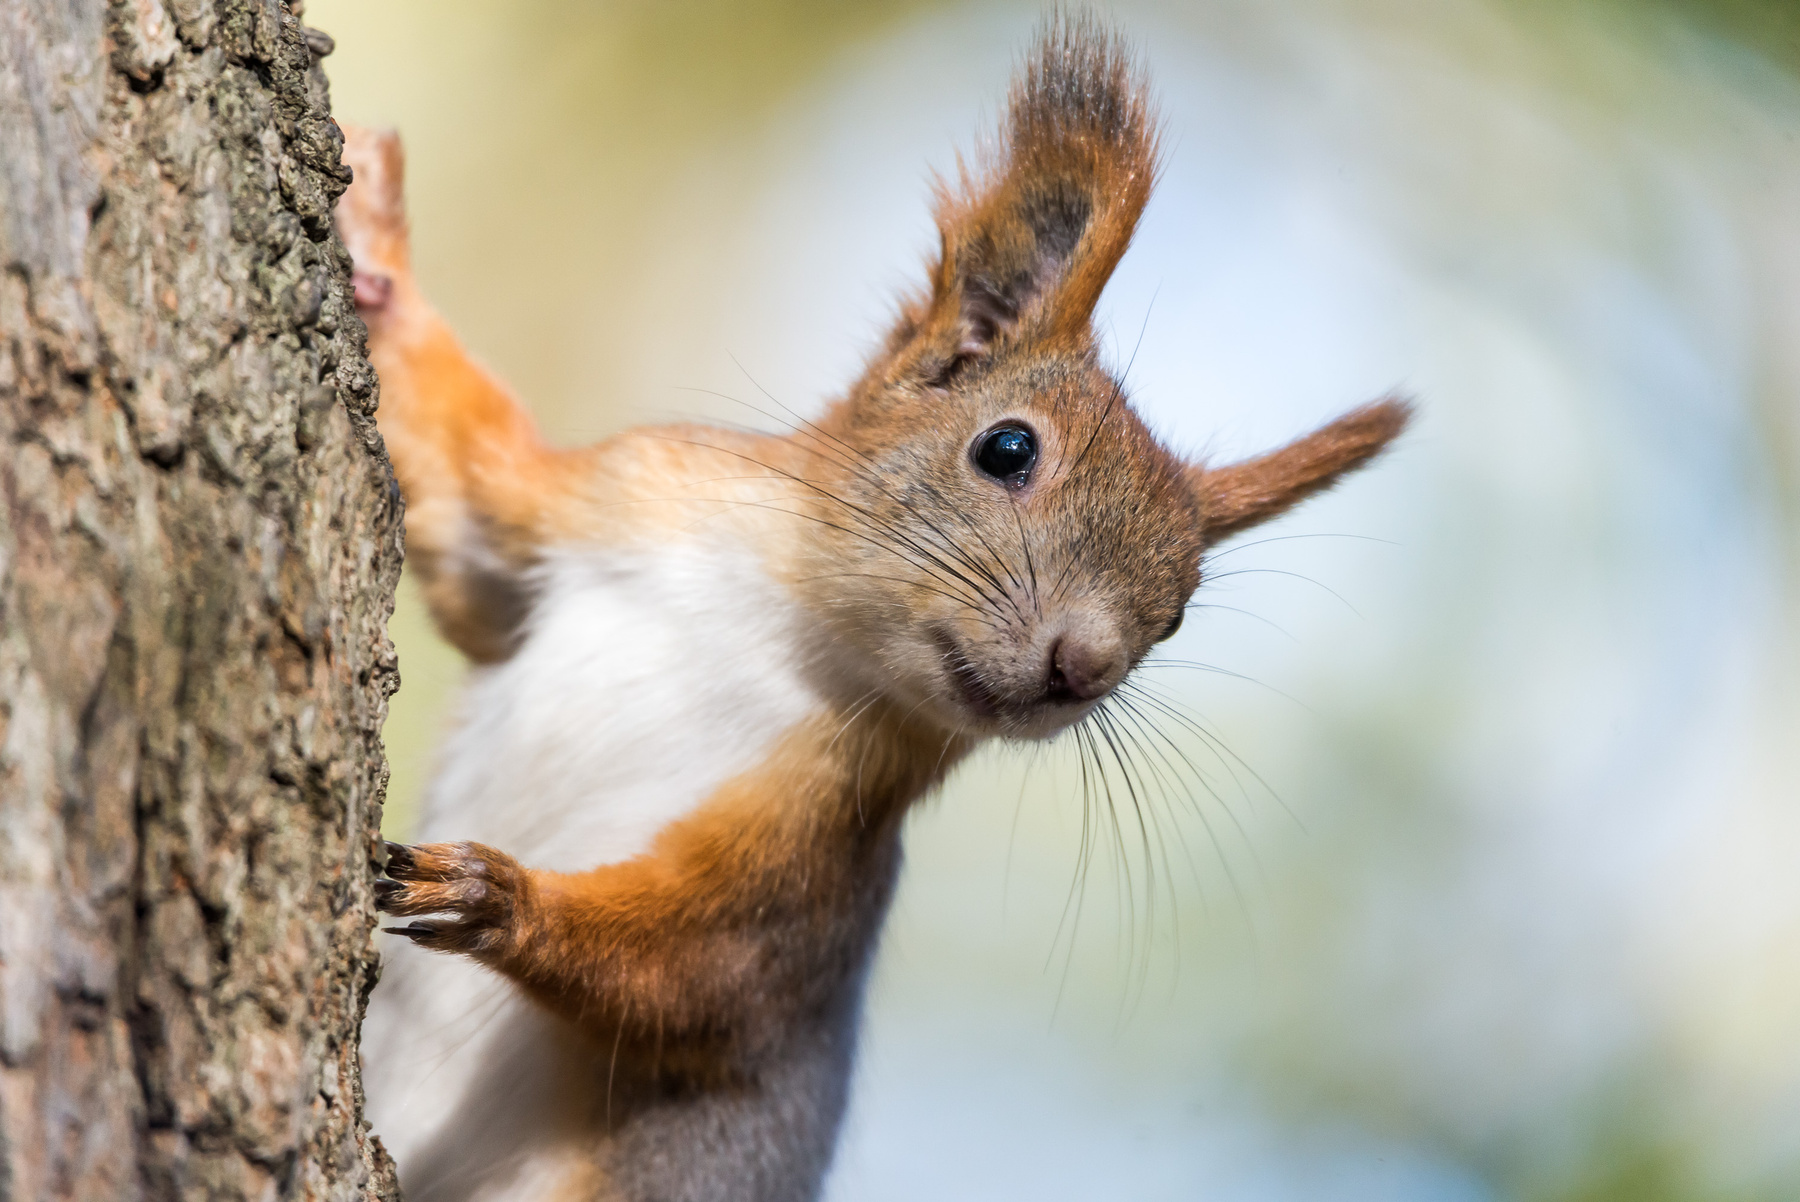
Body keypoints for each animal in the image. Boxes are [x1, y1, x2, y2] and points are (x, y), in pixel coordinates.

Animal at [335, 14, 1409, 1202]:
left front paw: (497, 894)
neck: (783, 623)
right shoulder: (603, 502)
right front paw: (374, 248)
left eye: (1175, 616)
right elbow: (466, 503)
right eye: (1007, 448)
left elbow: (701, 975)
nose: (1081, 666)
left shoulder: (820, 850)